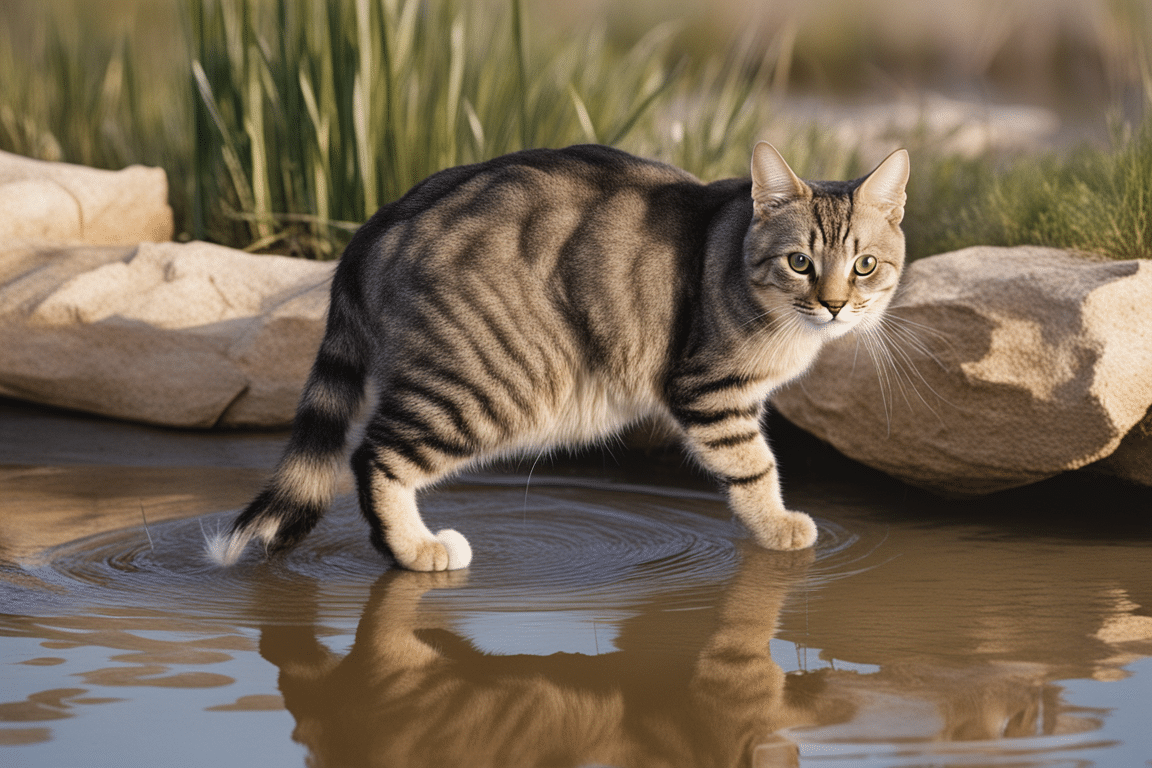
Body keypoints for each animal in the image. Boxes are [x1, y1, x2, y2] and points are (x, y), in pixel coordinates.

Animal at [207, 141, 907, 571]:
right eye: (800, 262)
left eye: (865, 266)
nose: (836, 306)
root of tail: (375, 224)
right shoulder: (711, 391)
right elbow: (754, 467)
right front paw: (780, 526)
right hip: (482, 389)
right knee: (373, 455)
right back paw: (416, 548)